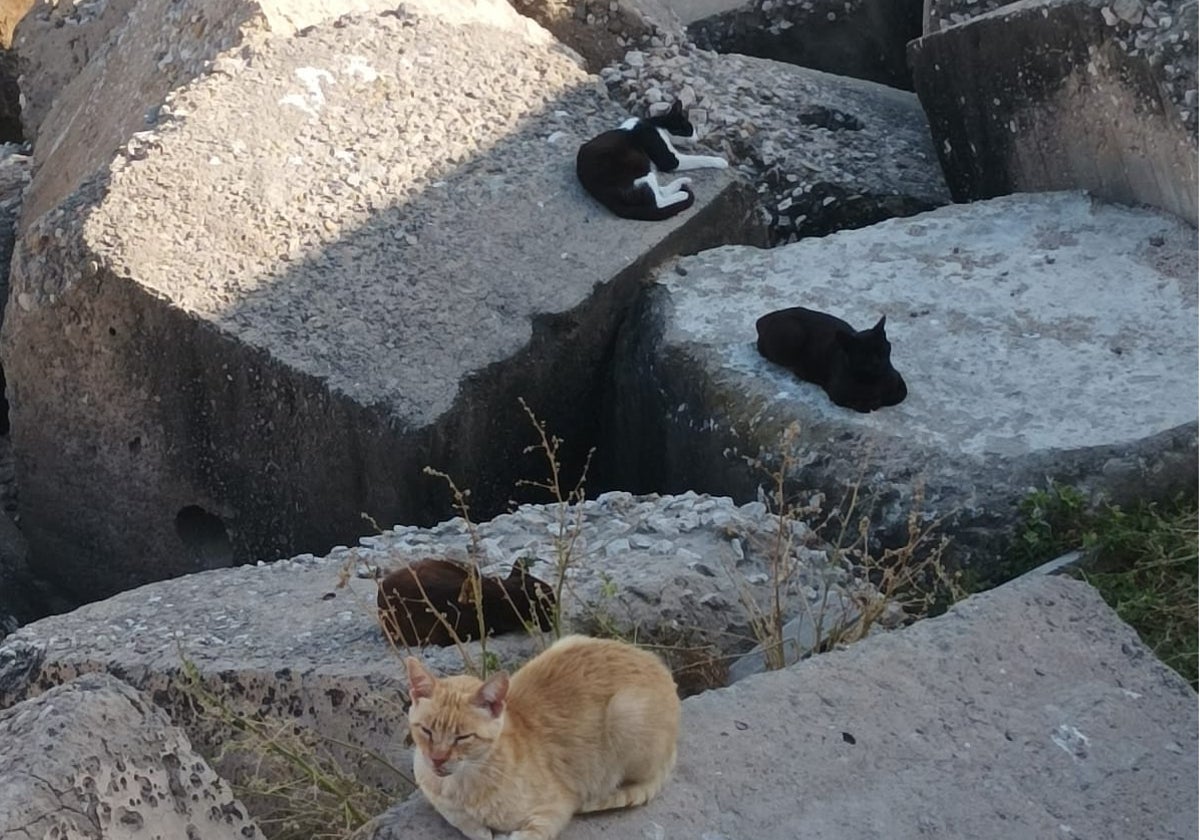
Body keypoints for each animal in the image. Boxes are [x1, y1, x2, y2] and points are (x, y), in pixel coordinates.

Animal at [408, 638, 681, 840]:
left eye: (462, 737)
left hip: (625, 713)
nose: (437, 759)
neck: (461, 785)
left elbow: (527, 834)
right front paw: (479, 828)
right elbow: (463, 821)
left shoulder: (556, 808)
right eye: (427, 731)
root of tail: (655, 662)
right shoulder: (437, 794)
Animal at [573, 100, 724, 223]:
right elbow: (698, 158)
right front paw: (721, 161)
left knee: (658, 191)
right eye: (690, 129)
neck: (653, 123)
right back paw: (682, 194)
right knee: (657, 202)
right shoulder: (668, 158)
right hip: (639, 167)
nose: (697, 138)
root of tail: (607, 197)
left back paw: (682, 183)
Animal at [758, 309, 907, 412]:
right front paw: (871, 402)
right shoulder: (838, 395)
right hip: (793, 335)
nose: (877, 361)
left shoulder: (899, 382)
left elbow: (896, 396)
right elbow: (860, 403)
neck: (872, 380)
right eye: (864, 354)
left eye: (882, 348)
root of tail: (763, 319)